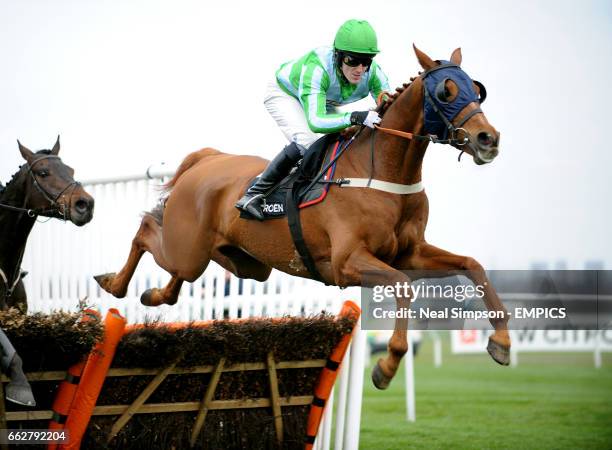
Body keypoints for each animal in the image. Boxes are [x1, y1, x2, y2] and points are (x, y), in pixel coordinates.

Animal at [94, 47, 506, 388]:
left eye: (477, 90)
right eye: (446, 92)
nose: (488, 139)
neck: (384, 172)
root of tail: (207, 159)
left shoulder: (410, 253)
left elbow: (472, 265)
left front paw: (501, 341)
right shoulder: (347, 262)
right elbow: (403, 286)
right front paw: (386, 366)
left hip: (243, 263)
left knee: (175, 281)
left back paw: (151, 293)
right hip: (189, 250)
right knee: (146, 231)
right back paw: (113, 282)